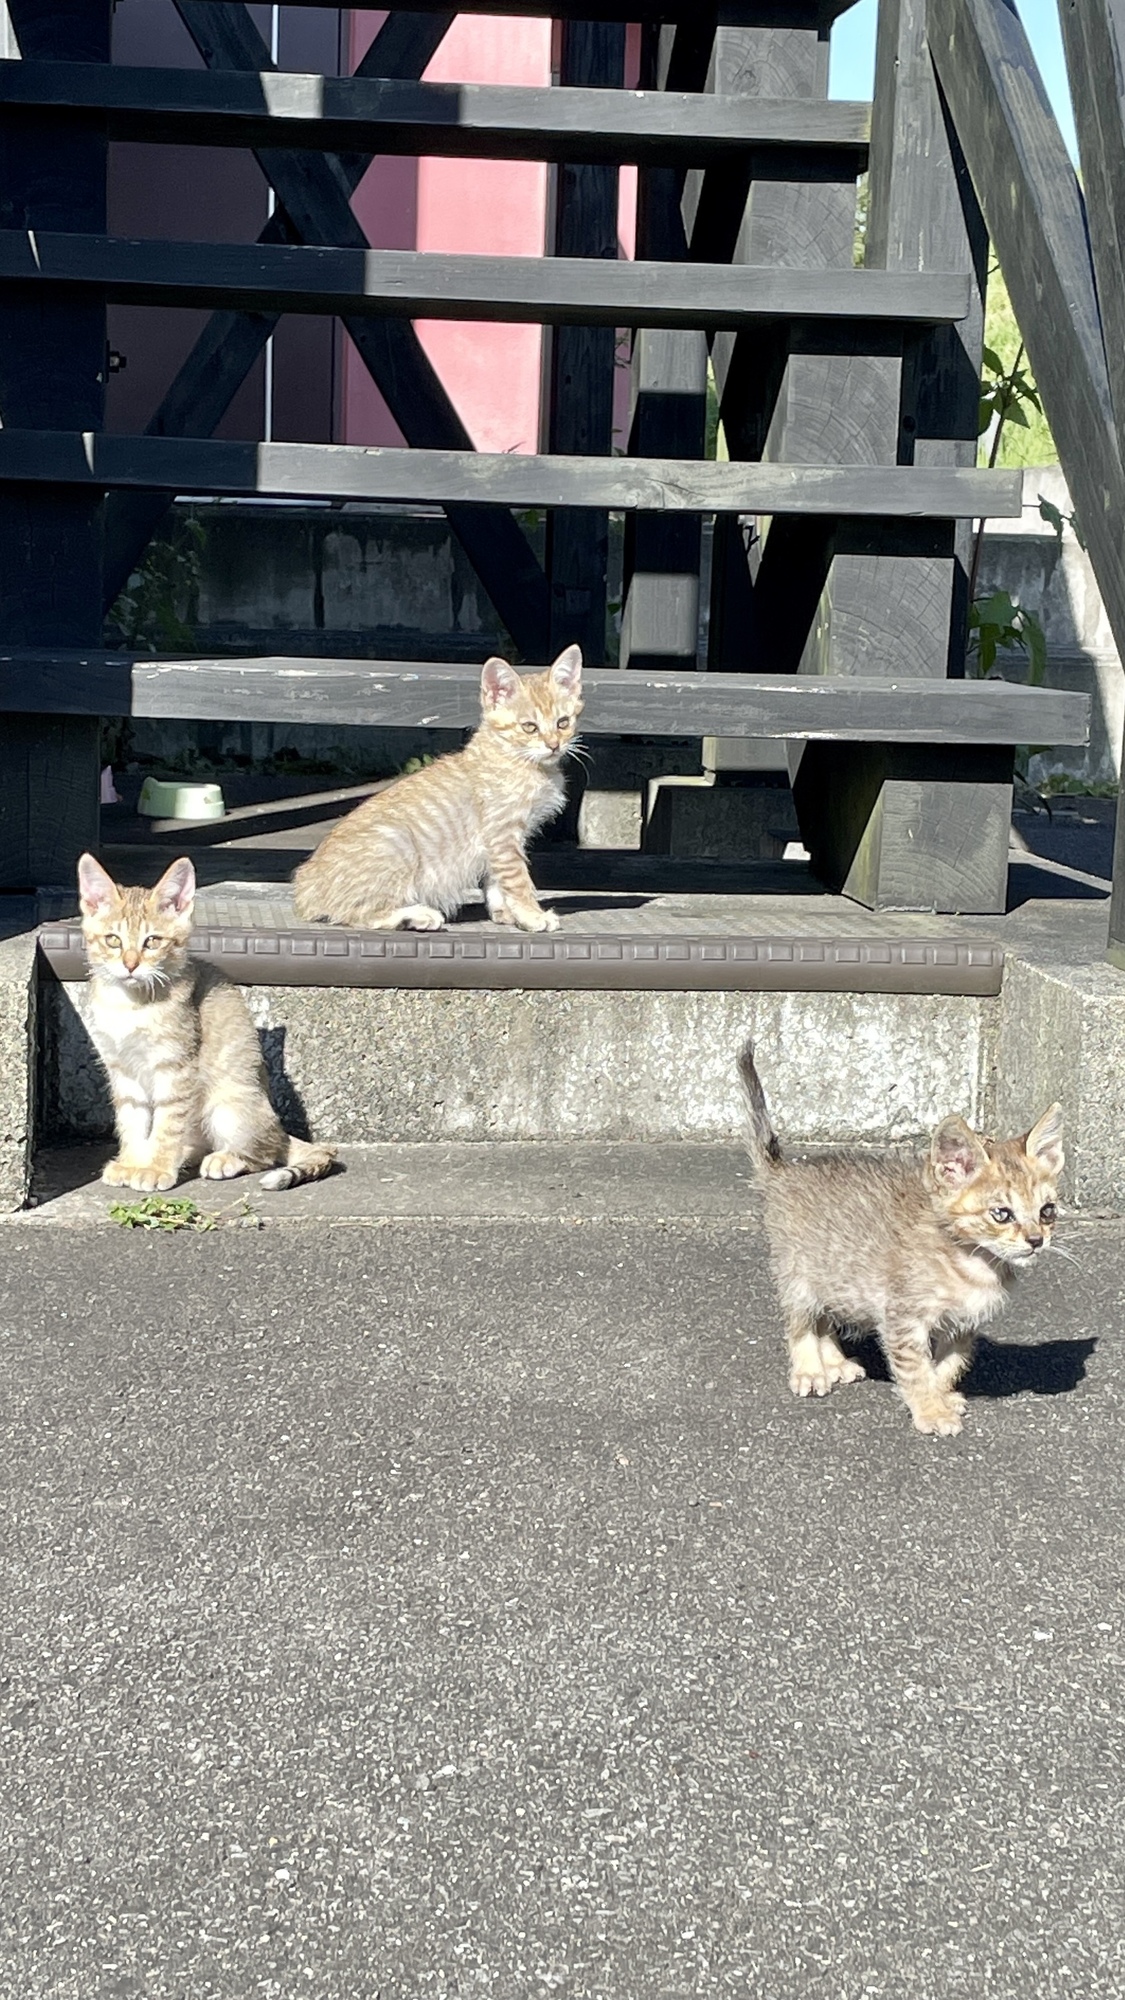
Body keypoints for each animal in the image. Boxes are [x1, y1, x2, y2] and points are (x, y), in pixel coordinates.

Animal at [77, 852, 334, 1192]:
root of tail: (280, 1131)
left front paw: (155, 1168)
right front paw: (133, 1161)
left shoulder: (176, 1067)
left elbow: (167, 1123)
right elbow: (132, 1120)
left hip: (227, 1106)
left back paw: (225, 1159)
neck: (129, 1004)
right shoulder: (123, 1070)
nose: (130, 965)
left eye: (152, 941)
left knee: (264, 1154)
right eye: (113, 940)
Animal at [288, 644, 588, 932]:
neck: (520, 759)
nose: (554, 745)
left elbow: (495, 880)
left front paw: (506, 913)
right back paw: (417, 916)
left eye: (563, 722)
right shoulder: (503, 834)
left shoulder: (497, 842)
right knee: (359, 914)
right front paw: (532, 916)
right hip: (397, 841)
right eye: (529, 727)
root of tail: (304, 888)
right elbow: (518, 881)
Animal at [736, 1032, 1056, 1440]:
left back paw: (835, 1362)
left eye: (1048, 1212)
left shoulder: (964, 1325)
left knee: (825, 1317)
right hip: (798, 1273)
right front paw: (930, 1411)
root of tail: (784, 1172)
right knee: (802, 1323)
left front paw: (940, 1395)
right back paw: (810, 1369)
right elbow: (915, 1369)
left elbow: (947, 1365)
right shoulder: (903, 1319)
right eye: (1001, 1214)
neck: (971, 1263)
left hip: (838, 1272)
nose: (1036, 1240)